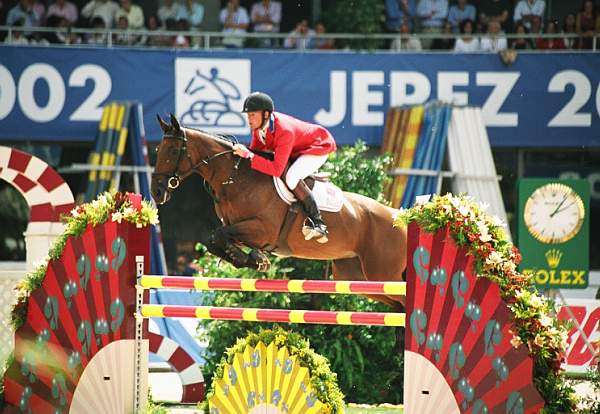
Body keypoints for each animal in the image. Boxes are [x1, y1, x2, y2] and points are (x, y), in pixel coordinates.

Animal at [151, 114, 407, 309]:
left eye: (172, 151)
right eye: (158, 149)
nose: (156, 191)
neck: (235, 179)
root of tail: (401, 219)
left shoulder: (262, 230)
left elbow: (220, 235)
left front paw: (253, 260)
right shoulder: (238, 229)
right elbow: (214, 240)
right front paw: (252, 259)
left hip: (382, 275)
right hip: (356, 277)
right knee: (397, 306)